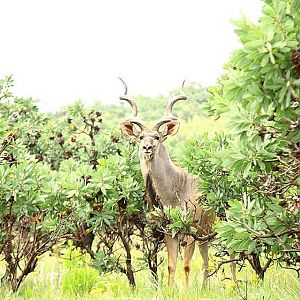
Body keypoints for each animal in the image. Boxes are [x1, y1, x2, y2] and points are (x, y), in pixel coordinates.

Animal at [118, 79, 231, 288]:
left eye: (157, 137)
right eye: (140, 137)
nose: (147, 147)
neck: (176, 188)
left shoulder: (190, 231)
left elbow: (185, 266)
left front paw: (185, 291)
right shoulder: (171, 233)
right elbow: (171, 266)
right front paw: (171, 290)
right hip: (206, 238)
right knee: (207, 262)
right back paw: (204, 289)